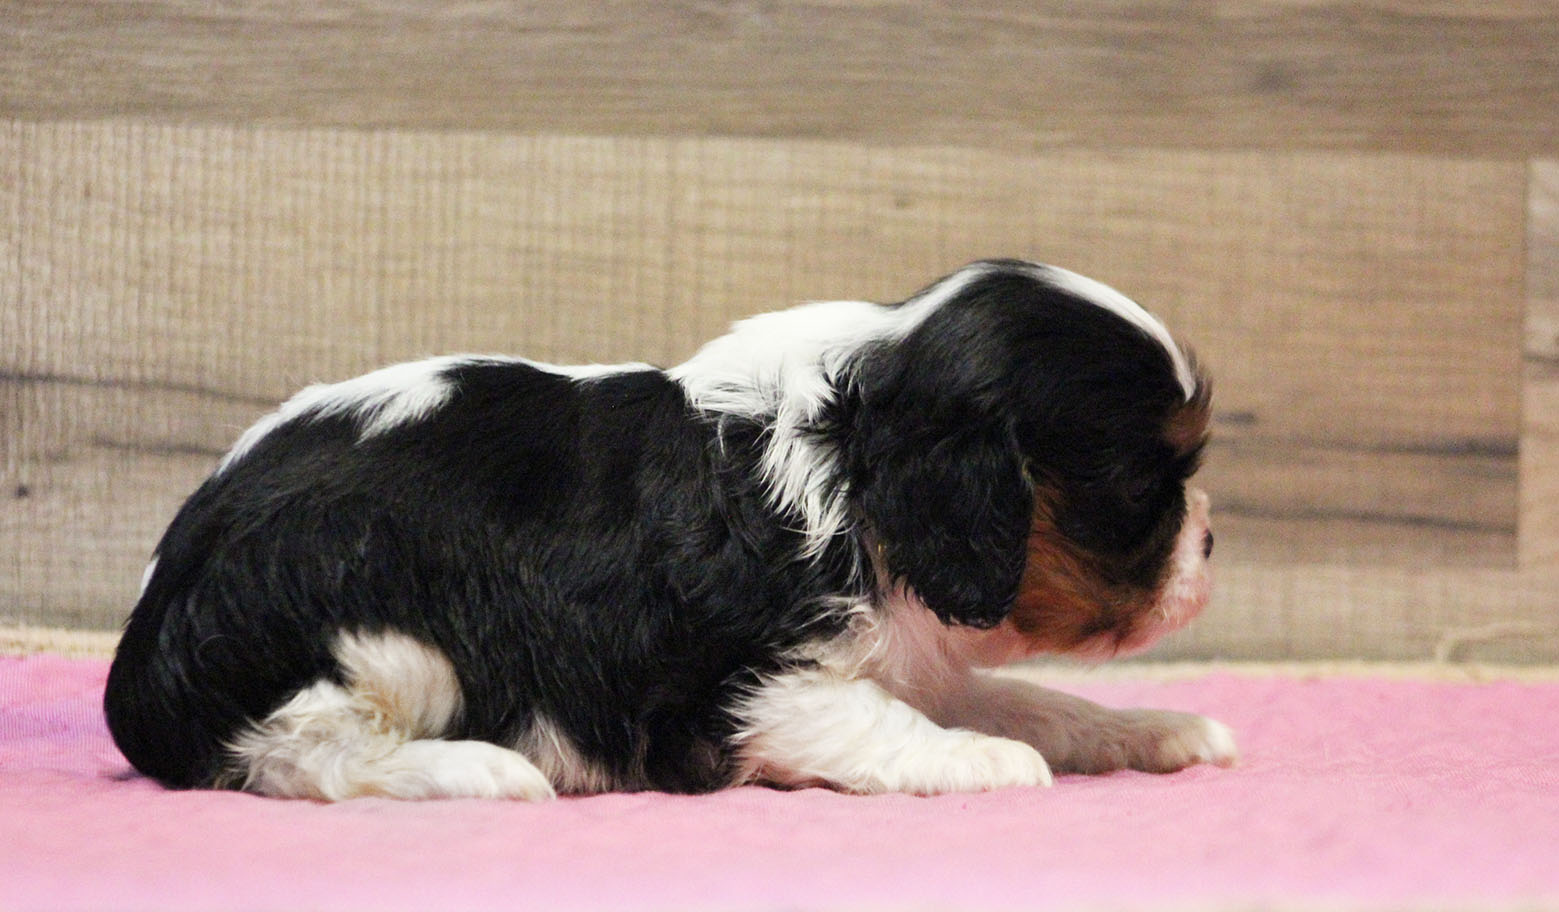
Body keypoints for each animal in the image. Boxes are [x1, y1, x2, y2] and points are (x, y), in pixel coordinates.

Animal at [105, 259, 1236, 800]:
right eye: (1144, 488)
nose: (1213, 543)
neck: (851, 456)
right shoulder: (751, 685)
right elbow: (882, 723)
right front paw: (984, 763)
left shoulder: (912, 653)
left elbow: (1027, 699)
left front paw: (1152, 730)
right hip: (382, 645)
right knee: (299, 755)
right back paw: (475, 772)